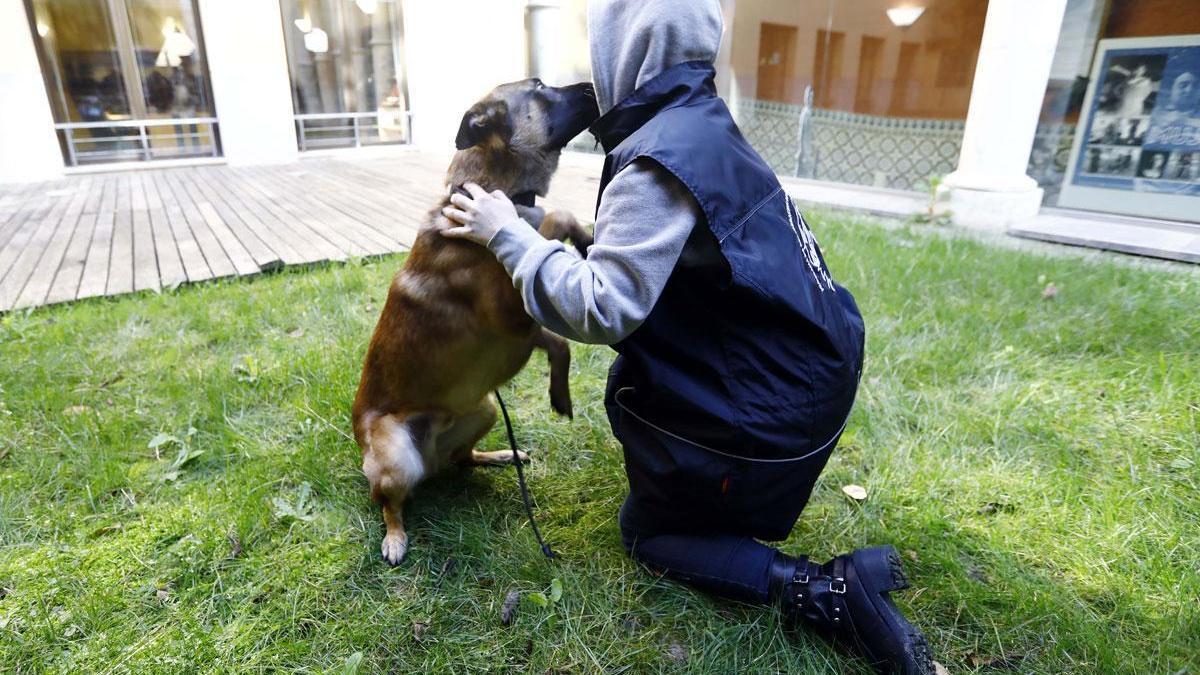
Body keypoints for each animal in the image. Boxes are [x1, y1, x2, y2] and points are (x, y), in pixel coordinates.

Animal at [352, 78, 600, 562]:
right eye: (539, 87)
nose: (590, 86)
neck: (483, 188)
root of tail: (427, 459)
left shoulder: (523, 328)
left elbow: (557, 338)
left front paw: (585, 237)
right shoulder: (512, 313)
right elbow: (550, 224)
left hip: (483, 409)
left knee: (462, 459)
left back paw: (502, 456)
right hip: (397, 457)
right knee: (388, 503)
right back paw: (395, 538)